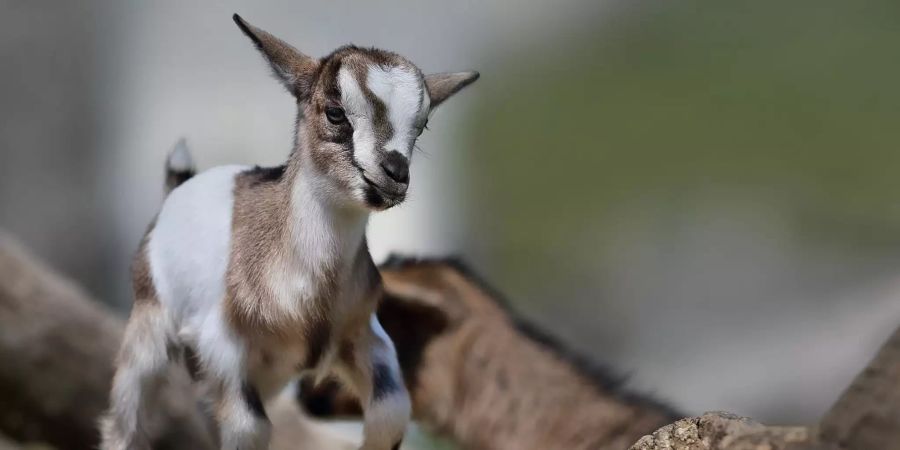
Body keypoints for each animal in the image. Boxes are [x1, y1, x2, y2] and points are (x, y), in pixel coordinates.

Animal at [100, 14, 478, 450]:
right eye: (335, 112)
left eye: (423, 124)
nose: (395, 174)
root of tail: (179, 187)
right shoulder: (223, 344)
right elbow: (250, 425)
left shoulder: (360, 334)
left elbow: (391, 411)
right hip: (150, 326)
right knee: (125, 420)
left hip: (270, 374)